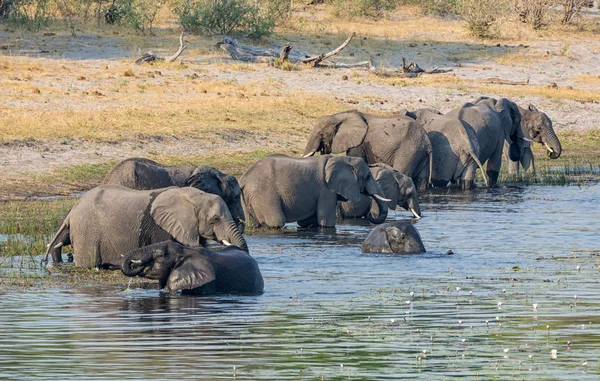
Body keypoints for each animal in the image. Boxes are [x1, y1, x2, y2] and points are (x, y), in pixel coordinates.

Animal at [241, 154, 392, 229]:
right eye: (367, 176)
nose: (370, 215)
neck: (343, 159)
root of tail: (244, 179)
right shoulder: (326, 189)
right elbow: (326, 222)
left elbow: (309, 222)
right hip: (264, 194)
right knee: (276, 222)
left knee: (252, 223)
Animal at [302, 110, 434, 189]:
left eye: (320, 134)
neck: (339, 116)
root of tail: (427, 141)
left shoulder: (359, 143)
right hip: (419, 152)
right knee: (421, 180)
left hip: (409, 150)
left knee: (402, 172)